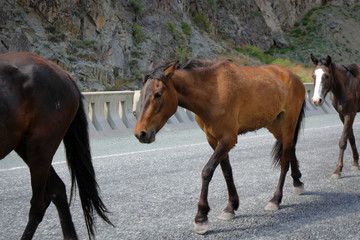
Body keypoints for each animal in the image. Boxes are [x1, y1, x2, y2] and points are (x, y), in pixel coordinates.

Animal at [134, 59, 306, 234]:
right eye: (142, 93)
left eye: (158, 94)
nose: (141, 133)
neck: (212, 92)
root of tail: (294, 77)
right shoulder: (213, 140)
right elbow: (226, 171)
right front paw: (231, 206)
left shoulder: (228, 139)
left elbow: (207, 171)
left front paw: (201, 216)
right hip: (275, 125)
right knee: (290, 149)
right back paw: (297, 182)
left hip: (288, 123)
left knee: (284, 160)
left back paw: (275, 199)